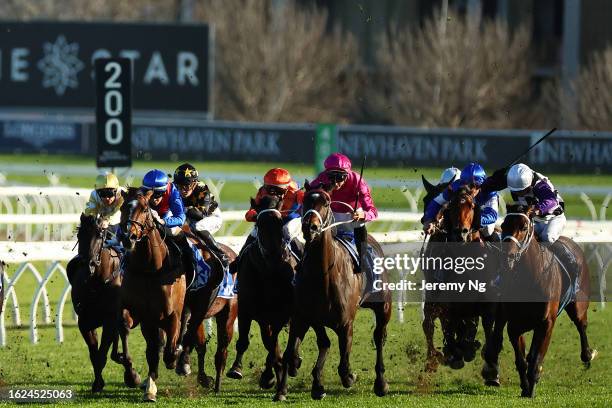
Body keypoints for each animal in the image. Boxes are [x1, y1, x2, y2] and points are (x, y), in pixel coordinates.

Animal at [67, 214, 141, 392]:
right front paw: (98, 382)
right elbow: (95, 355)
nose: (89, 265)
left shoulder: (110, 320)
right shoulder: (85, 322)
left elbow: (101, 354)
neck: (95, 283)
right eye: (80, 235)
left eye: (100, 235)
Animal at [118, 188, 186, 402]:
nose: (128, 237)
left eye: (145, 208)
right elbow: (125, 327)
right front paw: (132, 375)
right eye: (122, 207)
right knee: (153, 348)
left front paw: (173, 358)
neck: (150, 269)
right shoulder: (139, 314)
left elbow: (170, 349)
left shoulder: (172, 315)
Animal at [226, 196, 300, 390]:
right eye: (259, 223)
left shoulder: (281, 312)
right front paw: (236, 369)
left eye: (280, 222)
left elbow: (273, 343)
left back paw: (292, 362)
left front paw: (271, 373)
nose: (274, 254)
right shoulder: (248, 308)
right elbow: (248, 341)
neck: (268, 271)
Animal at [274, 186, 392, 402]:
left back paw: (381, 383)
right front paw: (284, 389)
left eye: (327, 202)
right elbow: (293, 352)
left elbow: (344, 364)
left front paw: (350, 377)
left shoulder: (346, 324)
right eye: (305, 200)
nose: (310, 227)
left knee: (379, 337)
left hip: (383, 305)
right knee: (325, 342)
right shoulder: (304, 316)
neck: (324, 275)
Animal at [486, 203, 600, 396]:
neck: (530, 277)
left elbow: (536, 357)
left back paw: (587, 355)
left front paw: (531, 385)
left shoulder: (546, 323)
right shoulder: (515, 325)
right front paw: (525, 386)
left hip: (578, 305)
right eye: (504, 225)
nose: (507, 256)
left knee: (581, 325)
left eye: (524, 227)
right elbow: (522, 359)